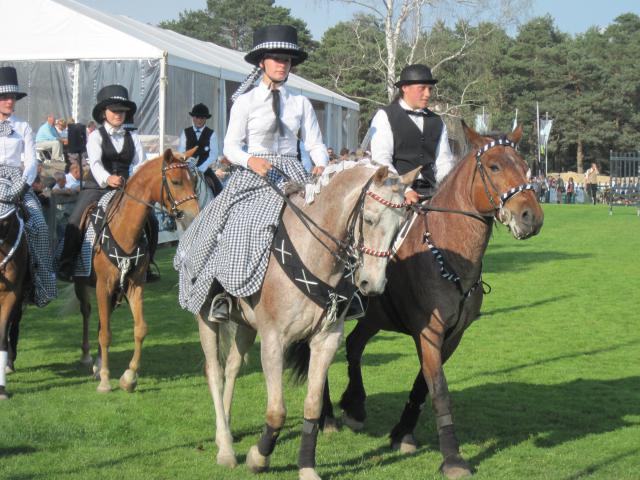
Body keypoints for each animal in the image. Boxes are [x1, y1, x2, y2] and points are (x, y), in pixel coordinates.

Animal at [73, 147, 198, 394]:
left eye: (194, 180)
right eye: (176, 181)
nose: (194, 215)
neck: (124, 229)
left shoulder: (134, 285)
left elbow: (140, 329)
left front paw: (129, 377)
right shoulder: (102, 286)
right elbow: (105, 334)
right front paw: (105, 380)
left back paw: (99, 363)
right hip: (84, 285)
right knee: (87, 312)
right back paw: (87, 357)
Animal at [198, 164, 420, 480]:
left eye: (401, 225)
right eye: (369, 218)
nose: (372, 284)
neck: (314, 255)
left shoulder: (325, 341)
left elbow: (313, 407)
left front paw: (306, 467)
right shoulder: (273, 341)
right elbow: (276, 410)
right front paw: (258, 458)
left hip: (245, 326)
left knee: (232, 368)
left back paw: (226, 431)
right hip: (205, 318)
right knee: (215, 372)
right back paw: (226, 449)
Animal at [322, 124, 544, 480]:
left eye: (525, 167)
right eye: (494, 166)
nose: (530, 217)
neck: (446, 251)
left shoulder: (452, 335)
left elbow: (422, 385)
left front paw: (403, 432)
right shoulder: (428, 332)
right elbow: (439, 390)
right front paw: (452, 457)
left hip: (373, 317)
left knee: (354, 347)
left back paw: (354, 405)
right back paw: (327, 416)